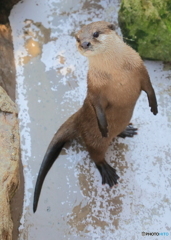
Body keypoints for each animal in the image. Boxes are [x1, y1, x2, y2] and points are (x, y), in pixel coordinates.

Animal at [32, 20, 158, 212]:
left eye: (96, 34)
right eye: (77, 38)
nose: (84, 44)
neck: (117, 74)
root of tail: (78, 118)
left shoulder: (140, 67)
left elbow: (149, 87)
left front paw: (154, 106)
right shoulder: (94, 88)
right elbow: (97, 106)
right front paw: (104, 126)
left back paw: (124, 131)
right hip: (93, 139)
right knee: (96, 156)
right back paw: (107, 170)